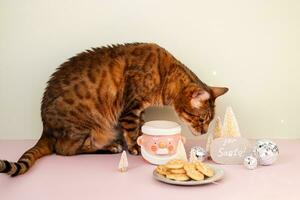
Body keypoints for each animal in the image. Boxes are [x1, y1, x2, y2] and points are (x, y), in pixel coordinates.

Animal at [0, 43, 227, 176]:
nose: (204, 131)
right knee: (67, 151)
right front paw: (135, 148)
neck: (165, 74)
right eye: (202, 120)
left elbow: (141, 127)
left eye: (208, 121)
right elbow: (132, 131)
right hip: (86, 126)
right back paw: (111, 147)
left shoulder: (140, 111)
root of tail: (45, 129)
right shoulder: (131, 108)